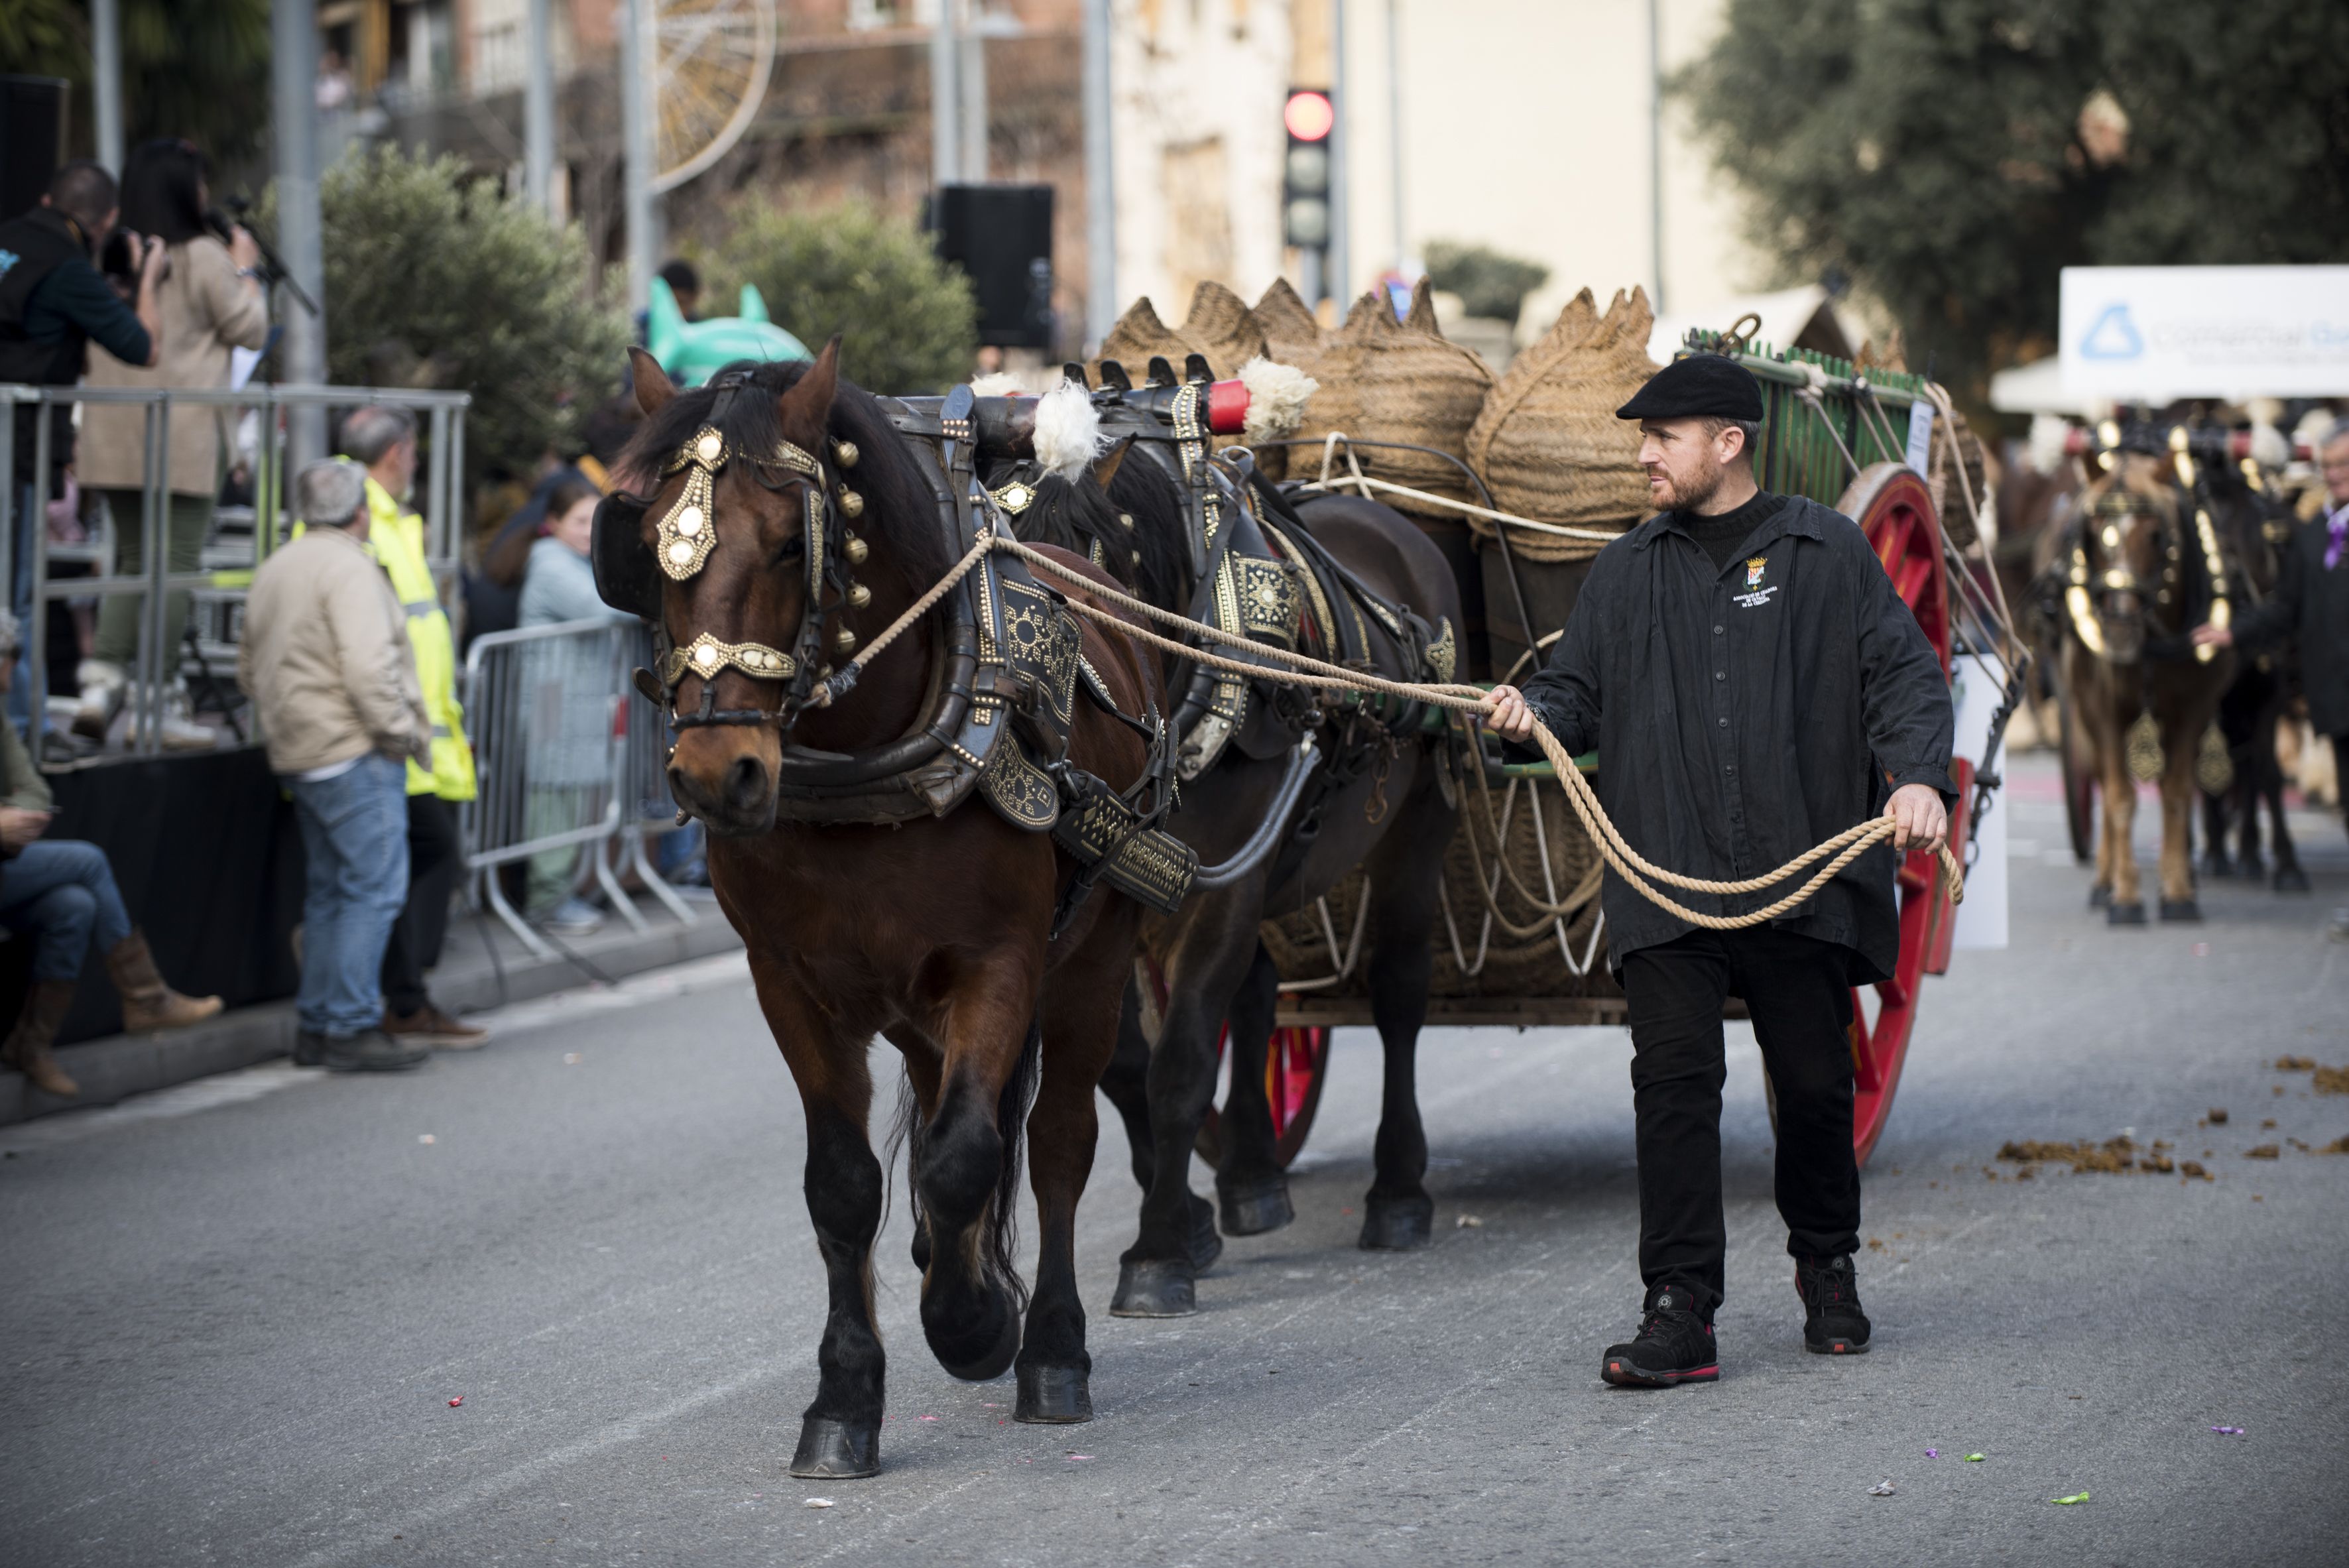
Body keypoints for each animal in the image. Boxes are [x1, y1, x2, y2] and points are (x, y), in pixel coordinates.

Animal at [625, 345, 1165, 1483]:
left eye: (794, 541)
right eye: (647, 548)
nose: (716, 772)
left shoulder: (999, 962)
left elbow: (968, 1156)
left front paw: (973, 1324)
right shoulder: (788, 984)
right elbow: (846, 1185)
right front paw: (844, 1401)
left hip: (1093, 958)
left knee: (1056, 1139)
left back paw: (1050, 1347)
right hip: (918, 1013)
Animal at [2067, 446, 2226, 920]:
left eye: (2157, 535)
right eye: (2091, 532)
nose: (2119, 628)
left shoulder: (2194, 707)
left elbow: (2176, 793)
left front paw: (2177, 893)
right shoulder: (2103, 707)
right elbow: (2120, 797)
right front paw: (2125, 896)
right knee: (2104, 782)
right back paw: (2105, 880)